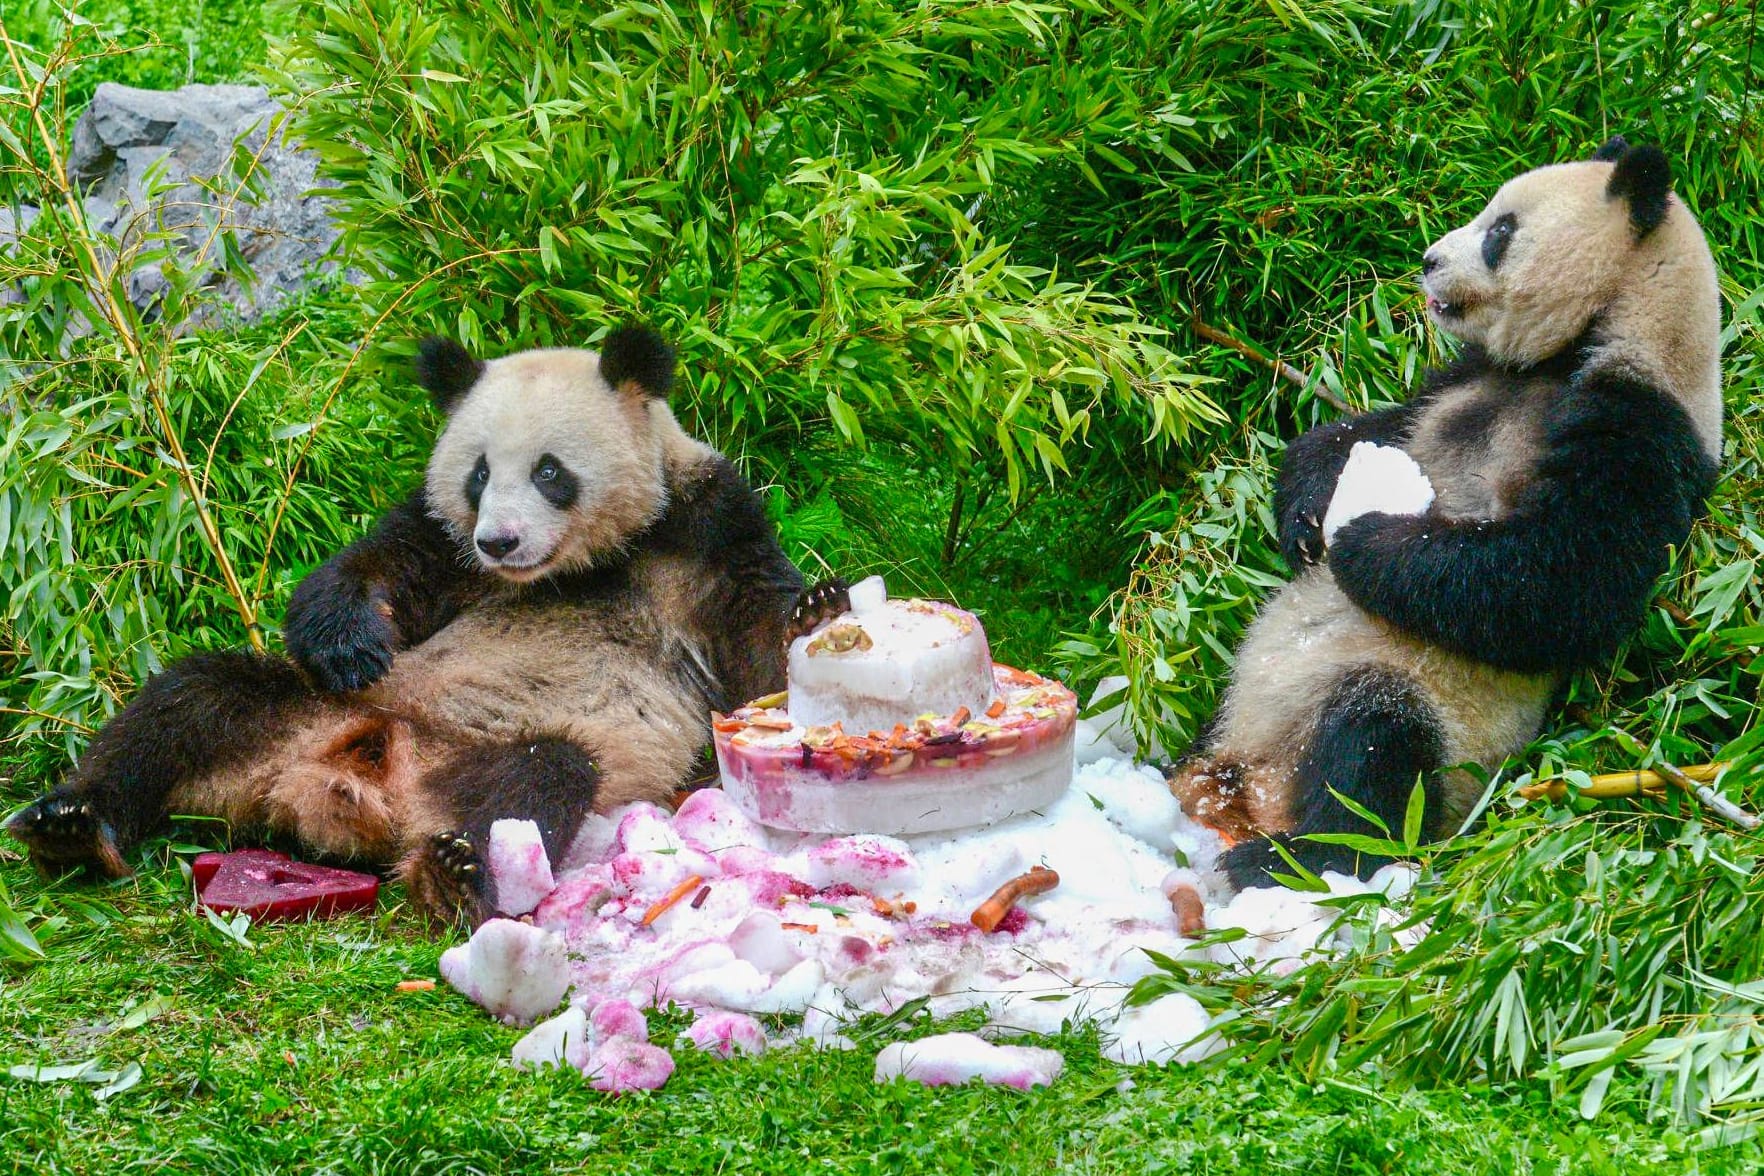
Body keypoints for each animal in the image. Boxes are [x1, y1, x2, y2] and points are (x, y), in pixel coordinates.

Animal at [6, 326, 825, 923]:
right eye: (480, 473)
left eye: (550, 471)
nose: (500, 541)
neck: (579, 566)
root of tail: (331, 783)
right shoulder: (444, 541)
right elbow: (376, 568)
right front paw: (348, 642)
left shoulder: (703, 525)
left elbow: (755, 652)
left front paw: (818, 612)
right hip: (295, 714)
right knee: (189, 701)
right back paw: (71, 825)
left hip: (503, 759)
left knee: (537, 780)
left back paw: (452, 873)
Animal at [1171, 138, 1721, 888]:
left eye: (1499, 231)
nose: (1429, 259)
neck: (1595, 337)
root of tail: (1246, 787)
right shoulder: (1465, 381)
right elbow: (1367, 428)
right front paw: (1310, 516)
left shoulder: (1643, 430)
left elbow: (1556, 582)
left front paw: (1362, 538)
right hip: (1230, 717)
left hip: (1437, 727)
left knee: (1373, 751)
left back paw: (1291, 856)